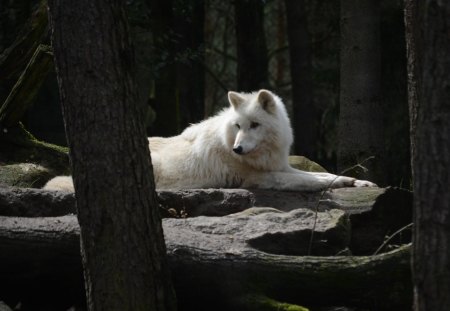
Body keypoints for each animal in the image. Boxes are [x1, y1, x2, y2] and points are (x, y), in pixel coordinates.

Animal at [44, 89, 376, 193]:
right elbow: (312, 181)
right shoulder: (260, 178)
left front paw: (359, 182)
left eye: (254, 125)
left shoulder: (280, 167)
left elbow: (323, 173)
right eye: (238, 125)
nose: (237, 148)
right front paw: (343, 183)